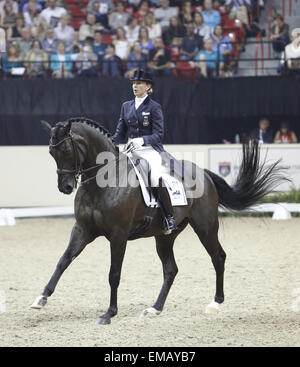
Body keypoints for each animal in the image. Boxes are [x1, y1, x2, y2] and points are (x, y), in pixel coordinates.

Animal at [31, 117, 288, 324]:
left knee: (218, 257)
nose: (65, 187)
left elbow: (114, 274)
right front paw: (41, 298)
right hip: (164, 236)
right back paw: (154, 309)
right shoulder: (82, 230)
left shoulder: (118, 235)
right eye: (51, 152)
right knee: (171, 269)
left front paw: (109, 314)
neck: (102, 182)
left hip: (205, 227)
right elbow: (63, 261)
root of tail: (203, 173)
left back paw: (215, 304)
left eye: (66, 149)